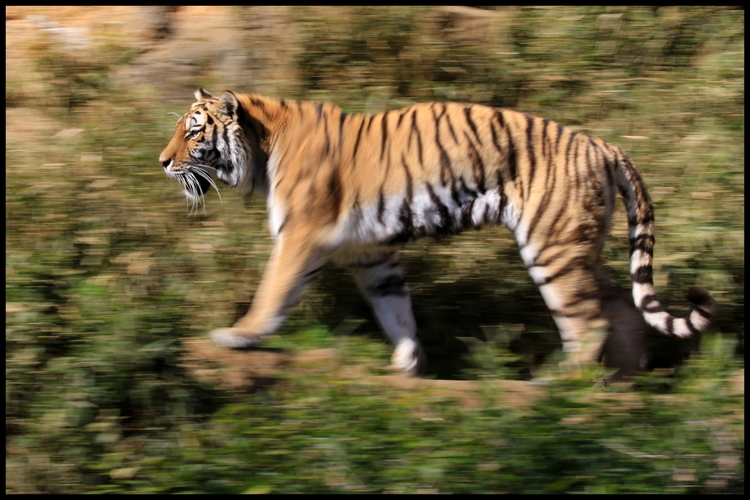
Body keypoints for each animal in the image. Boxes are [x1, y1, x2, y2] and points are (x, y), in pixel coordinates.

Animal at [160, 89, 716, 378]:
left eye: (193, 130)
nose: (162, 161)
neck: (262, 148)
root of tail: (604, 145)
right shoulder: (371, 254)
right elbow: (396, 311)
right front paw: (408, 365)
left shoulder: (300, 237)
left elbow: (272, 292)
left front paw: (240, 335)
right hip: (577, 245)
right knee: (620, 306)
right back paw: (624, 381)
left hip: (553, 248)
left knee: (588, 321)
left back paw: (567, 388)